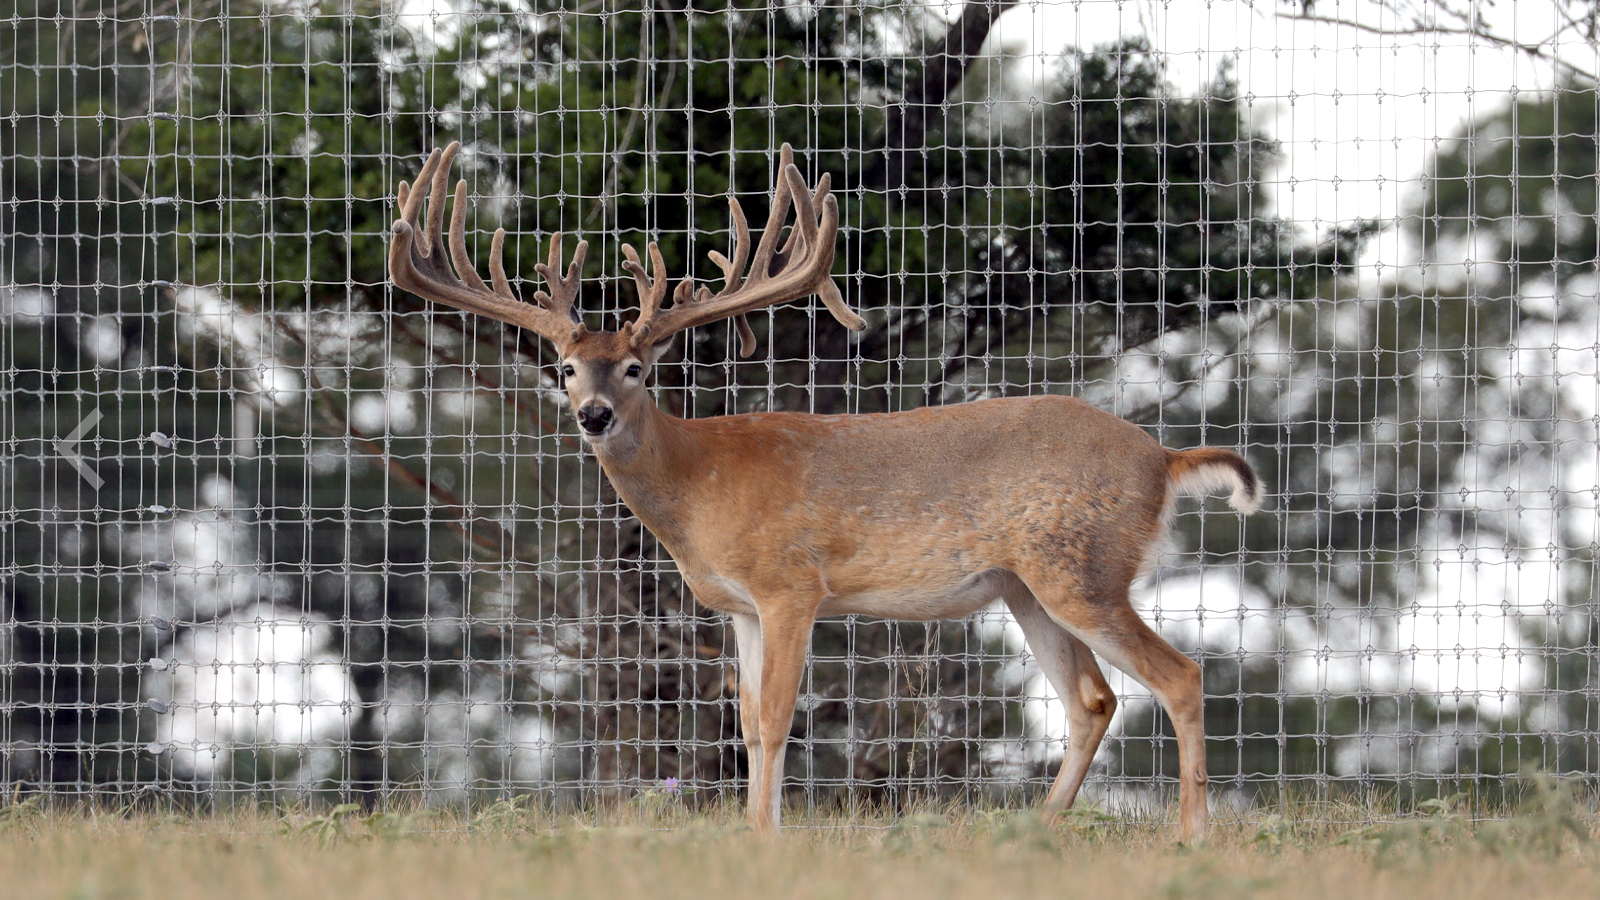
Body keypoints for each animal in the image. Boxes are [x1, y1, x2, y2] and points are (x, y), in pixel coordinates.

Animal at [390, 141, 1260, 839]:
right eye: (567, 368)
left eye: (636, 369)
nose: (594, 414)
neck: (698, 482)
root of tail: (1163, 459)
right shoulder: (738, 605)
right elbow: (743, 724)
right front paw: (752, 831)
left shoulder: (790, 582)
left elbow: (776, 719)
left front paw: (769, 837)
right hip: (1027, 585)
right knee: (1092, 701)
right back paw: (1038, 829)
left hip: (1083, 566)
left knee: (1178, 676)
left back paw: (1191, 834)